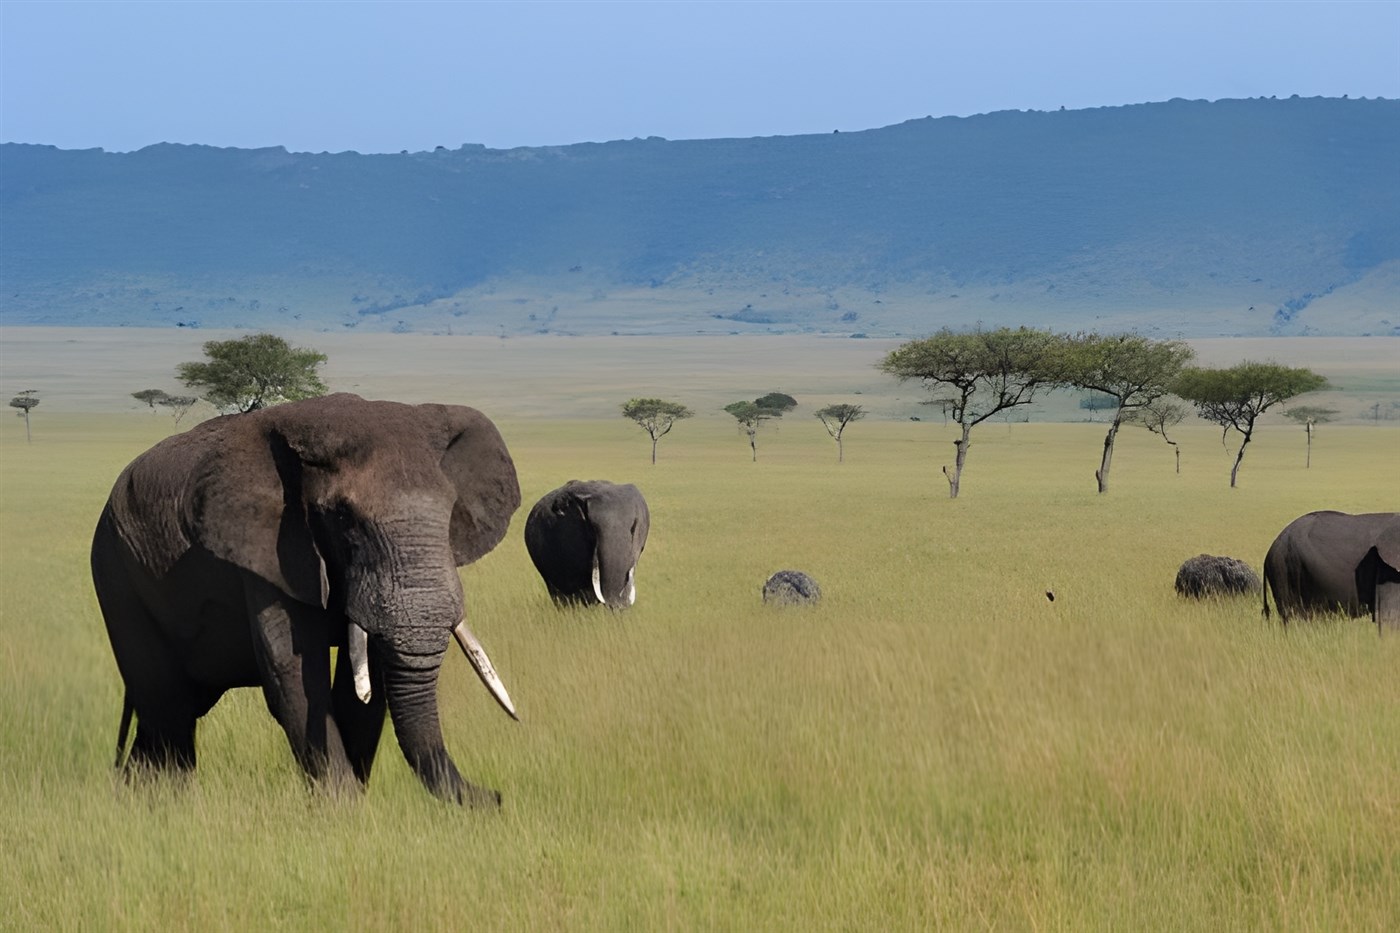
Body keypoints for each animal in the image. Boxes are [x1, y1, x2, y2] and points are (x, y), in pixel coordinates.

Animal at [91, 393, 522, 806]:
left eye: (450, 511)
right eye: (344, 518)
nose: (497, 796)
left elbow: (363, 685)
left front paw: (354, 799)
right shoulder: (268, 549)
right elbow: (295, 674)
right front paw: (342, 809)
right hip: (115, 570)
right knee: (166, 708)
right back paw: (164, 805)